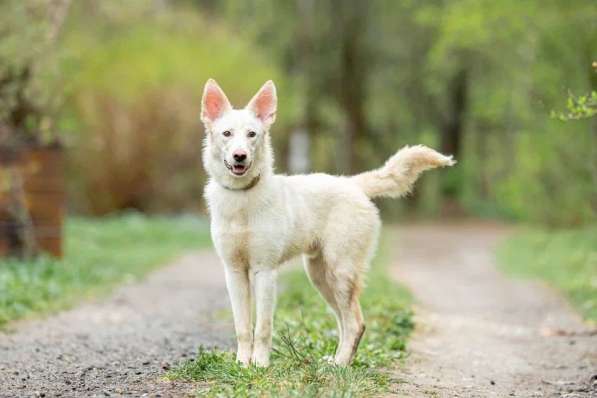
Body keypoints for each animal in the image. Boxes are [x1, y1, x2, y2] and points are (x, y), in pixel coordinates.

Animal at [200, 78, 452, 366]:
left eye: (252, 134)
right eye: (227, 133)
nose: (240, 156)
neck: (242, 198)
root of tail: (353, 184)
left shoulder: (265, 271)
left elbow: (263, 327)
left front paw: (260, 364)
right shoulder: (234, 272)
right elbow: (243, 326)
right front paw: (243, 364)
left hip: (340, 272)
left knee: (355, 323)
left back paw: (341, 365)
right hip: (321, 277)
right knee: (344, 321)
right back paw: (336, 360)